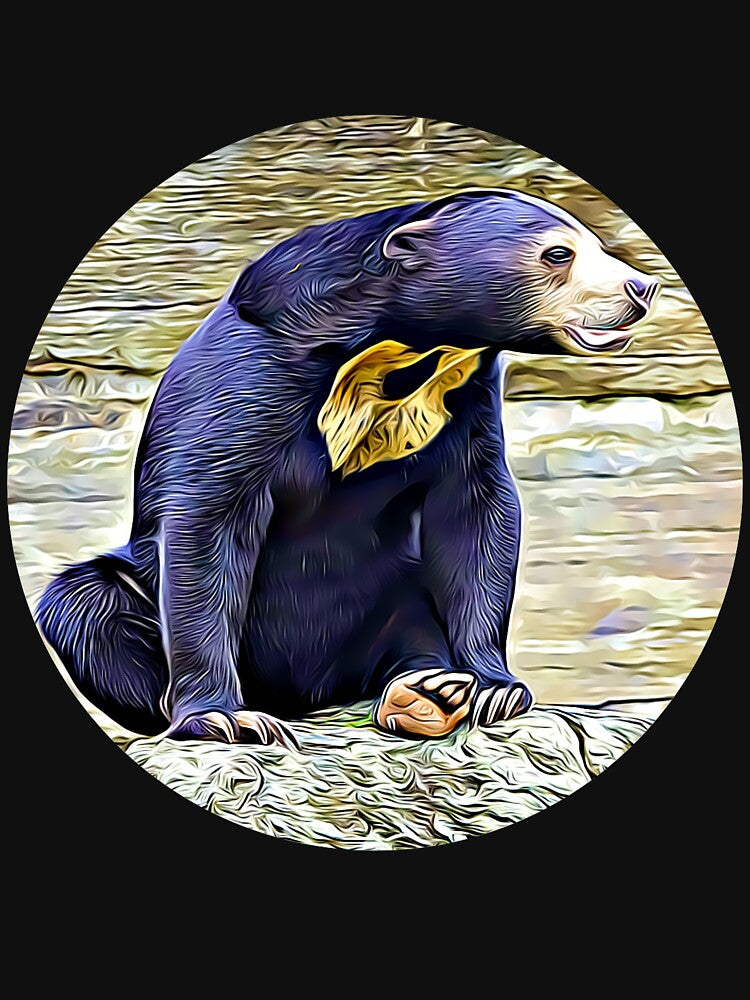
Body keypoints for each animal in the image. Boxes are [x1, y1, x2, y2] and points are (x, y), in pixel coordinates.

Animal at [36, 189, 658, 745]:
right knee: (85, 604)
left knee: (409, 621)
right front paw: (223, 719)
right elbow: (208, 520)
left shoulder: (463, 398)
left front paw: (492, 688)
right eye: (558, 254)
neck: (402, 350)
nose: (642, 287)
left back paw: (427, 694)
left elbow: (477, 511)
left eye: (598, 245)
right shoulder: (248, 380)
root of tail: (309, 696)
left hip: (388, 594)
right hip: (135, 592)